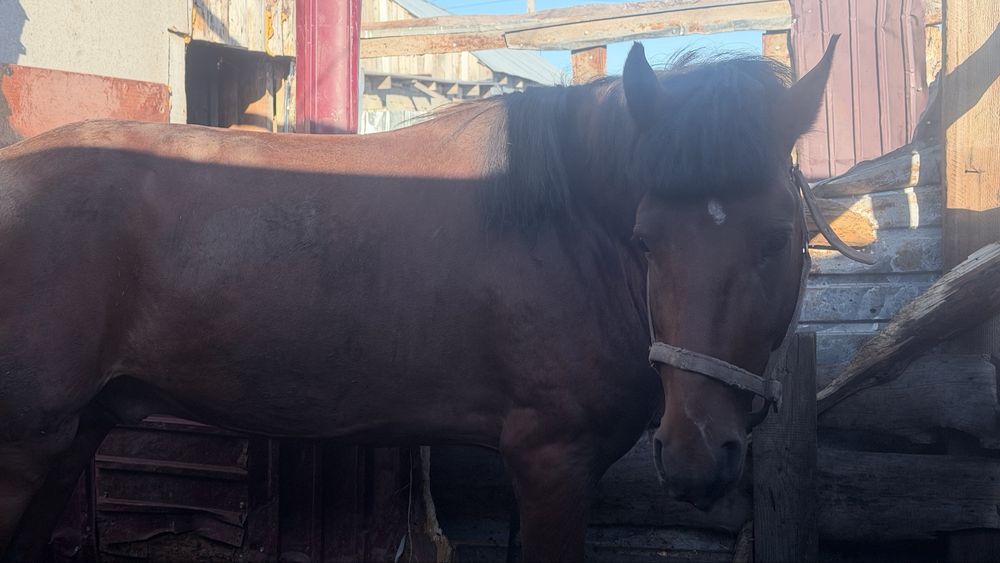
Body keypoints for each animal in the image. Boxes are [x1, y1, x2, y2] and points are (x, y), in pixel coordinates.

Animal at [0, 38, 845, 561]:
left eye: (778, 236)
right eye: (646, 238)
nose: (696, 454)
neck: (564, 226)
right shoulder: (552, 459)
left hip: (72, 435)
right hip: (25, 446)